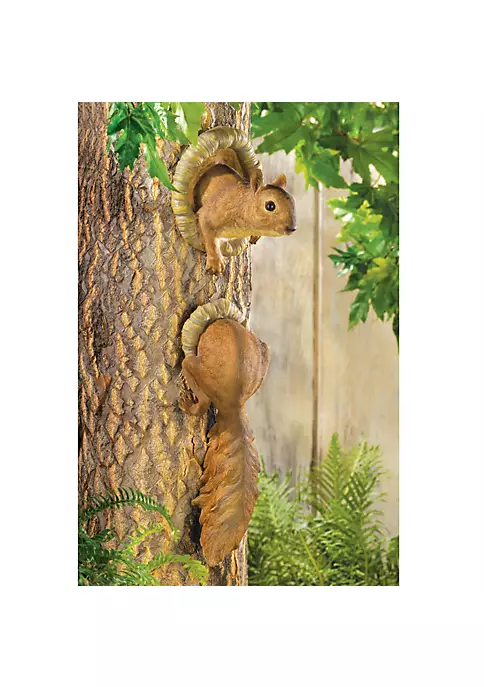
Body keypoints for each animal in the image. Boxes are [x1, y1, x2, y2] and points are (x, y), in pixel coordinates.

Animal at [171, 126, 297, 274]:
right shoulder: (214, 212)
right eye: (270, 206)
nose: (292, 228)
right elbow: (209, 236)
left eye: (293, 202)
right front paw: (216, 262)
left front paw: (255, 236)